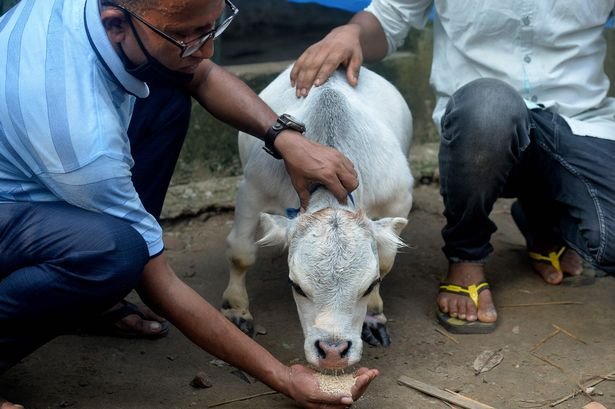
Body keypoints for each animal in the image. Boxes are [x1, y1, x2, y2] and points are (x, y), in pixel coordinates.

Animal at [223, 64, 414, 370]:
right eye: (296, 286)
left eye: (368, 286)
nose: (333, 351)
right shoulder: (253, 190)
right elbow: (241, 253)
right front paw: (236, 309)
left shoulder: (398, 200)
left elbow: (385, 261)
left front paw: (373, 314)